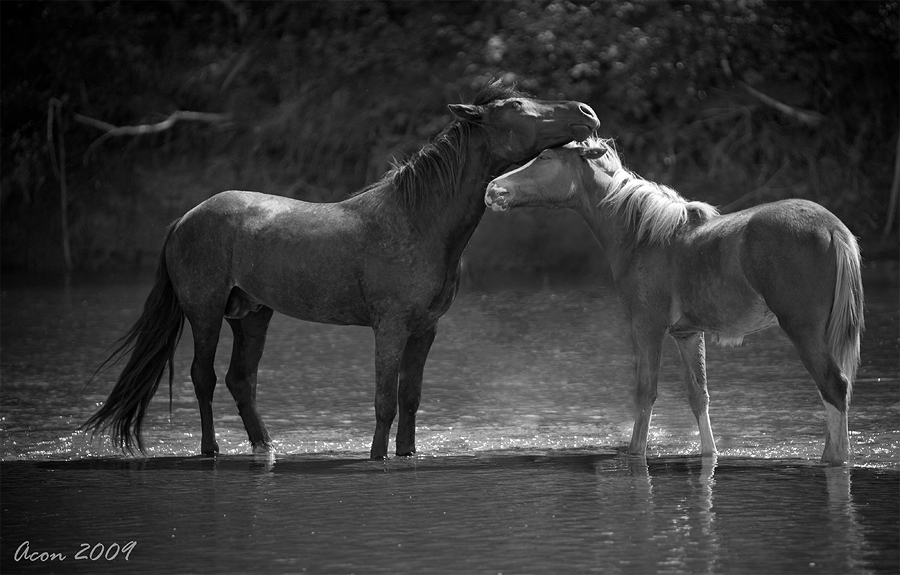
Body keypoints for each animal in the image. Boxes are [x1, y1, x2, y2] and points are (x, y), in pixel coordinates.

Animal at [84, 82, 600, 460]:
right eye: (516, 105)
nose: (587, 111)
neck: (416, 221)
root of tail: (185, 219)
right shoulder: (390, 326)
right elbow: (384, 401)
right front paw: (376, 458)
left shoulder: (425, 329)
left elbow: (410, 399)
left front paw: (407, 455)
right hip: (205, 311)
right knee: (203, 377)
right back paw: (211, 450)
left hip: (252, 314)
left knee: (240, 380)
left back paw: (265, 447)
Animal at [486, 137, 864, 466]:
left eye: (545, 157)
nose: (492, 189)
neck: (645, 235)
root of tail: (833, 228)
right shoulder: (688, 334)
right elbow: (699, 397)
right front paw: (710, 454)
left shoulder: (647, 327)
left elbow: (645, 394)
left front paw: (636, 453)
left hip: (803, 330)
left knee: (834, 387)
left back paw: (836, 459)